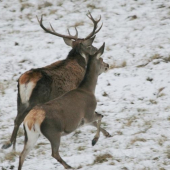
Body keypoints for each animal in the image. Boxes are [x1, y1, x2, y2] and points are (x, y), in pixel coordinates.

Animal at [1, 12, 111, 150]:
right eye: (90, 45)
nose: (99, 53)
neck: (79, 62)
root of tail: (27, 80)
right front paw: (105, 133)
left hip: (19, 99)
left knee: (16, 119)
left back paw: (9, 143)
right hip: (36, 99)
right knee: (22, 118)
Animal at [18, 41, 109, 169]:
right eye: (101, 59)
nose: (108, 65)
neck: (88, 90)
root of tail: (31, 119)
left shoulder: (82, 120)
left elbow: (95, 122)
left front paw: (107, 134)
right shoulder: (88, 113)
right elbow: (100, 116)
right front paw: (94, 141)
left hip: (31, 135)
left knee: (22, 155)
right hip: (53, 132)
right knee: (54, 153)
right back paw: (69, 166)